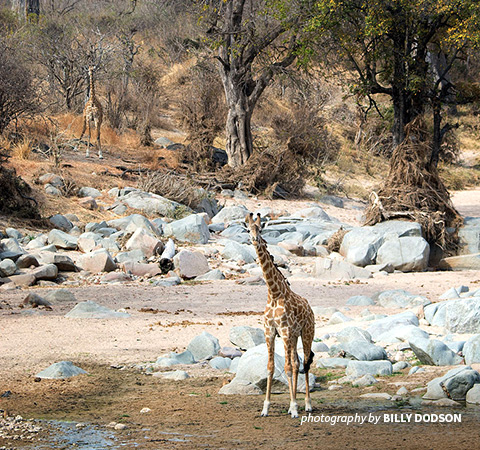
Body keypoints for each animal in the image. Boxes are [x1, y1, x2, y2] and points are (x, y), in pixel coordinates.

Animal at [246, 212, 316, 418]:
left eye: (260, 229)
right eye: (248, 229)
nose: (255, 239)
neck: (274, 293)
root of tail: (310, 308)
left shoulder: (284, 331)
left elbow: (286, 368)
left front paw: (294, 407)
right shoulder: (270, 332)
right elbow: (270, 368)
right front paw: (266, 408)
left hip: (306, 334)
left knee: (305, 363)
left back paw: (307, 405)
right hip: (294, 337)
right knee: (297, 362)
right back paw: (296, 405)